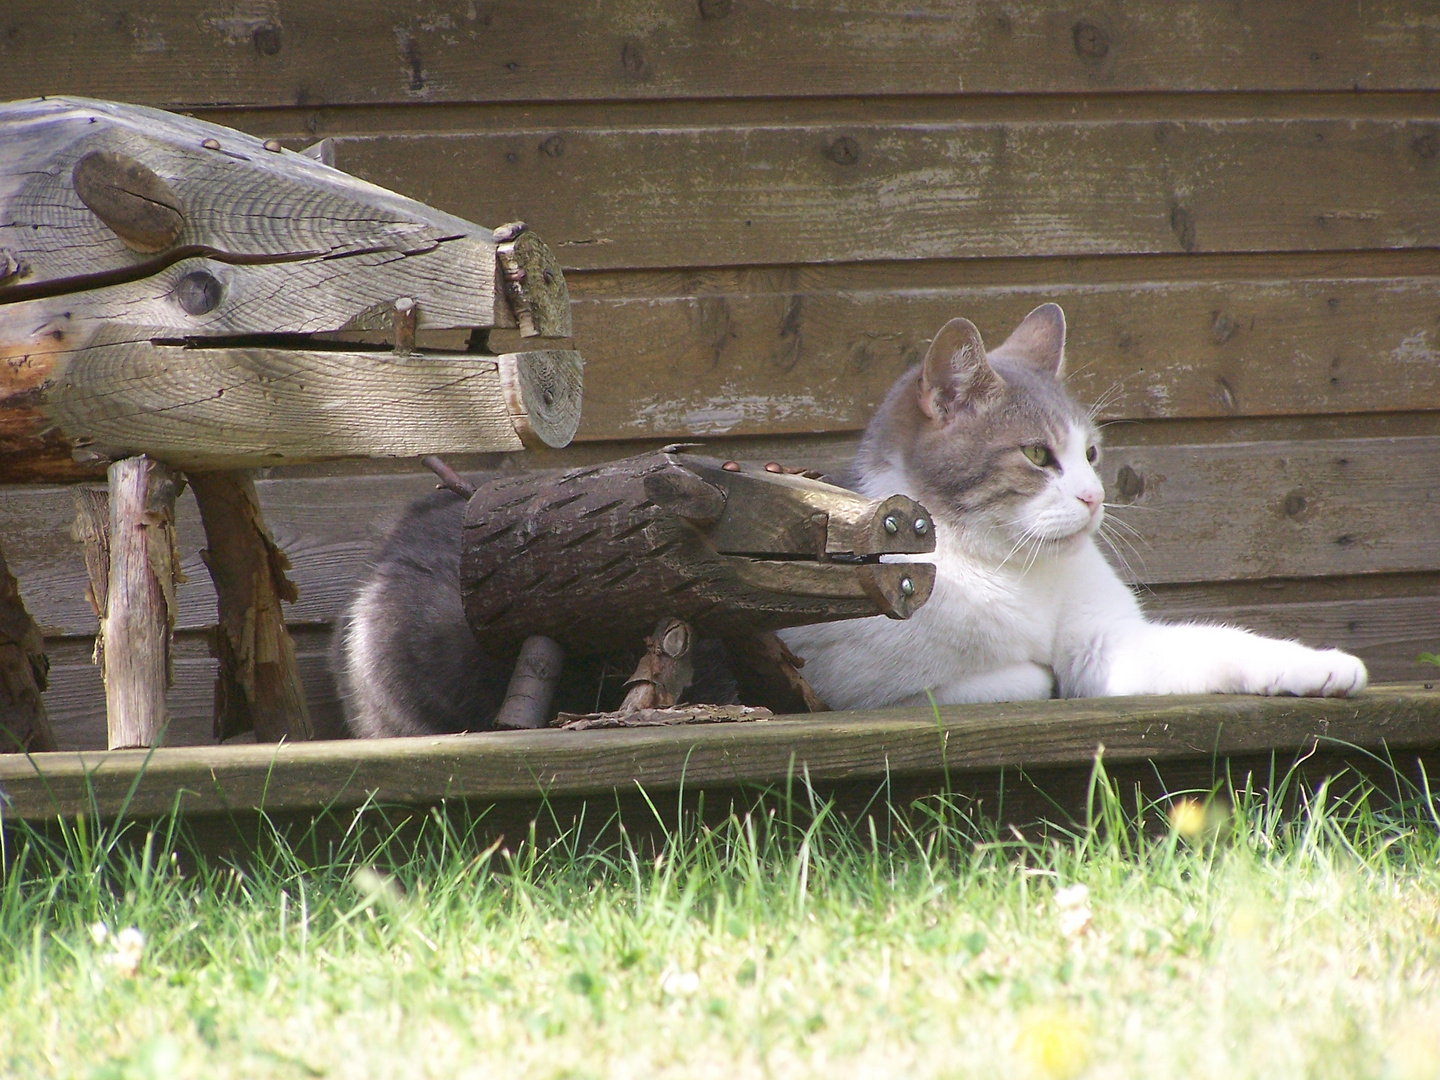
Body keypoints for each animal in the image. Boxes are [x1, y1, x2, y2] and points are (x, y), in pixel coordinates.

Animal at [783, 305, 1365, 711]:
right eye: (1038, 455)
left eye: (1090, 454)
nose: (1095, 496)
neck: (1015, 569)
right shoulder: (846, 686)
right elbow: (1018, 679)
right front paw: (1037, 674)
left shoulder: (1109, 644)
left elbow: (1217, 644)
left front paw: (1317, 666)